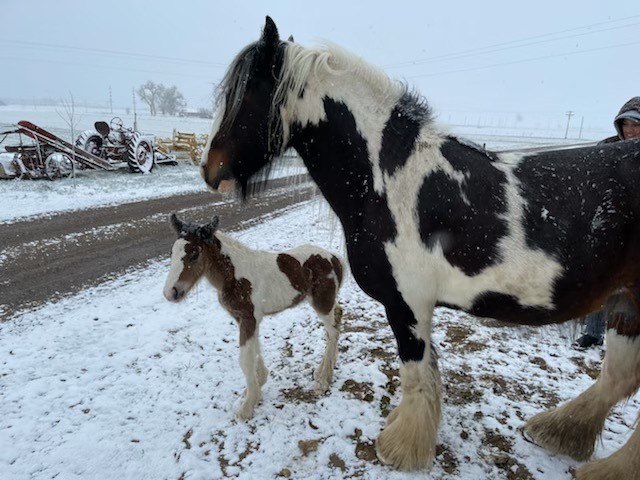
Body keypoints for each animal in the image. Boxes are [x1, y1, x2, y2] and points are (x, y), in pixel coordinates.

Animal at [163, 213, 345, 420]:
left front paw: (248, 405)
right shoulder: (245, 318)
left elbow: (244, 358)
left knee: (333, 331)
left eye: (194, 254)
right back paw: (322, 371)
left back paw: (323, 381)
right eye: (172, 253)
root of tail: (335, 258)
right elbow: (255, 348)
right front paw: (259, 382)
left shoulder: (249, 317)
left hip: (322, 303)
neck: (234, 276)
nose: (170, 293)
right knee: (335, 322)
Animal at [199, 17, 640, 478]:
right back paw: (563, 436)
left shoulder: (407, 304)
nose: (209, 170)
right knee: (618, 378)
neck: (390, 179)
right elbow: (424, 374)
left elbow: (414, 374)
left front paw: (401, 448)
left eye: (247, 92)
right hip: (627, 306)